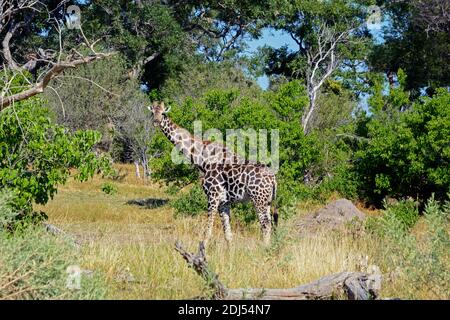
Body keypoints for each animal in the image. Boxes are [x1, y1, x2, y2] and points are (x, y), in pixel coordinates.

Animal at [148, 101, 278, 244]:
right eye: (152, 112)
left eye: (163, 113)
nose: (155, 122)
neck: (202, 159)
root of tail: (273, 179)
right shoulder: (224, 201)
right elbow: (228, 234)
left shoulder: (213, 196)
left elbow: (207, 231)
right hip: (267, 201)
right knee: (269, 224)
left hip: (258, 199)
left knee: (265, 225)